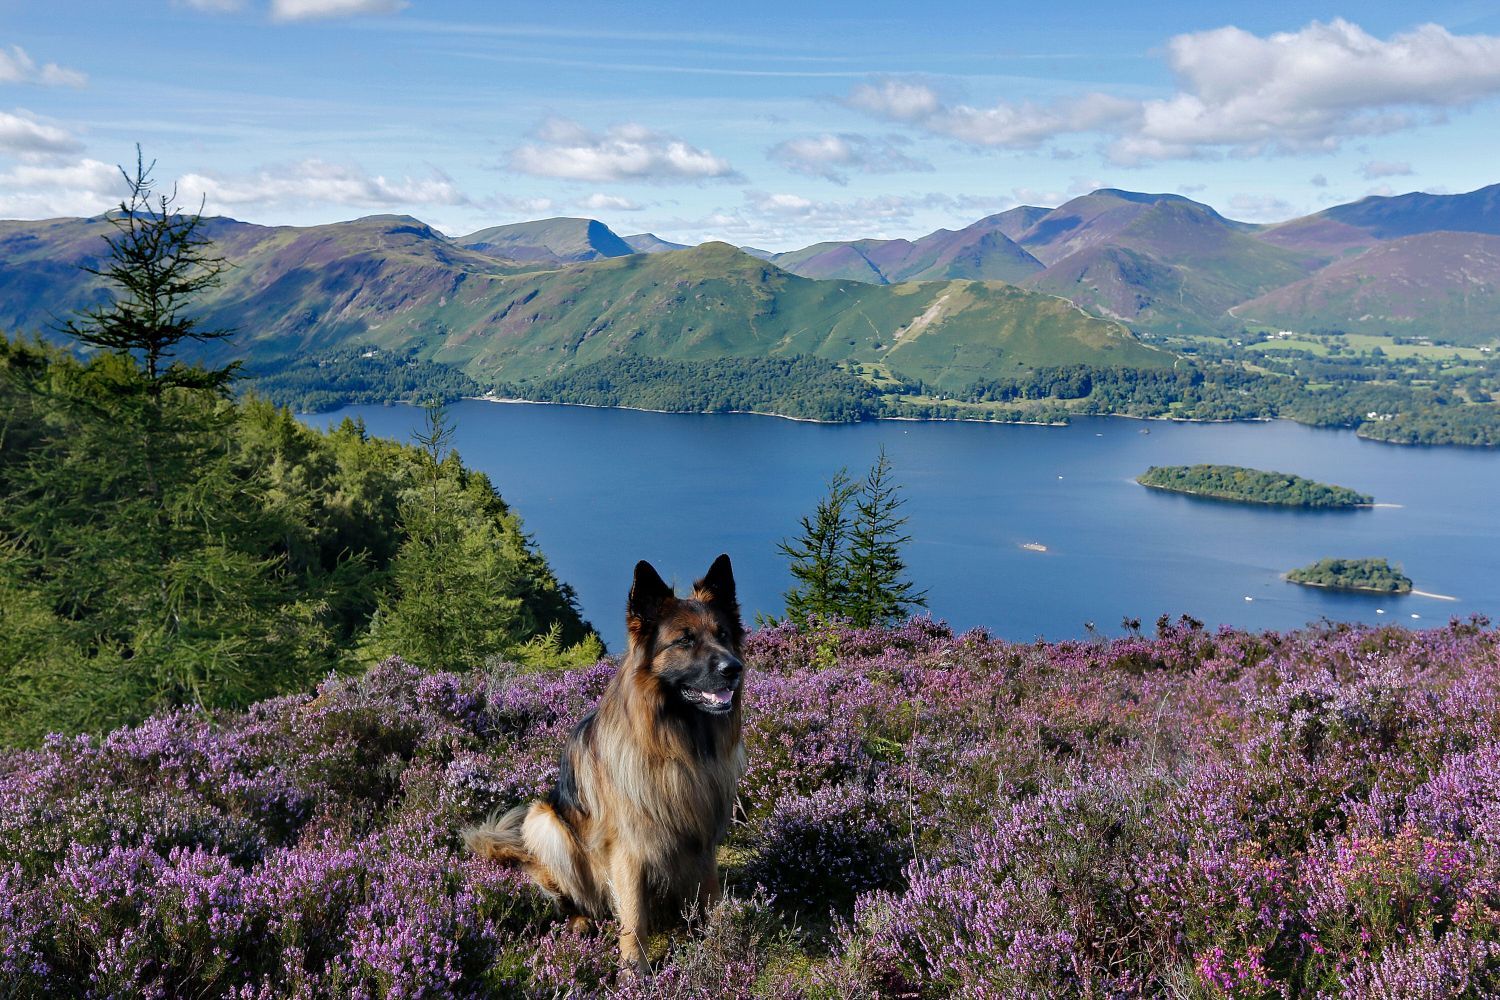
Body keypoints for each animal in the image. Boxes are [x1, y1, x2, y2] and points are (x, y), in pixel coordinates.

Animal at [462, 551, 744, 971]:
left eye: (723, 634)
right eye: (684, 640)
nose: (733, 669)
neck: (678, 744)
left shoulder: (702, 837)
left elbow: (709, 895)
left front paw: (717, 944)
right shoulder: (628, 849)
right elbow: (633, 917)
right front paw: (633, 972)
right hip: (544, 822)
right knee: (573, 899)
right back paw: (580, 924)